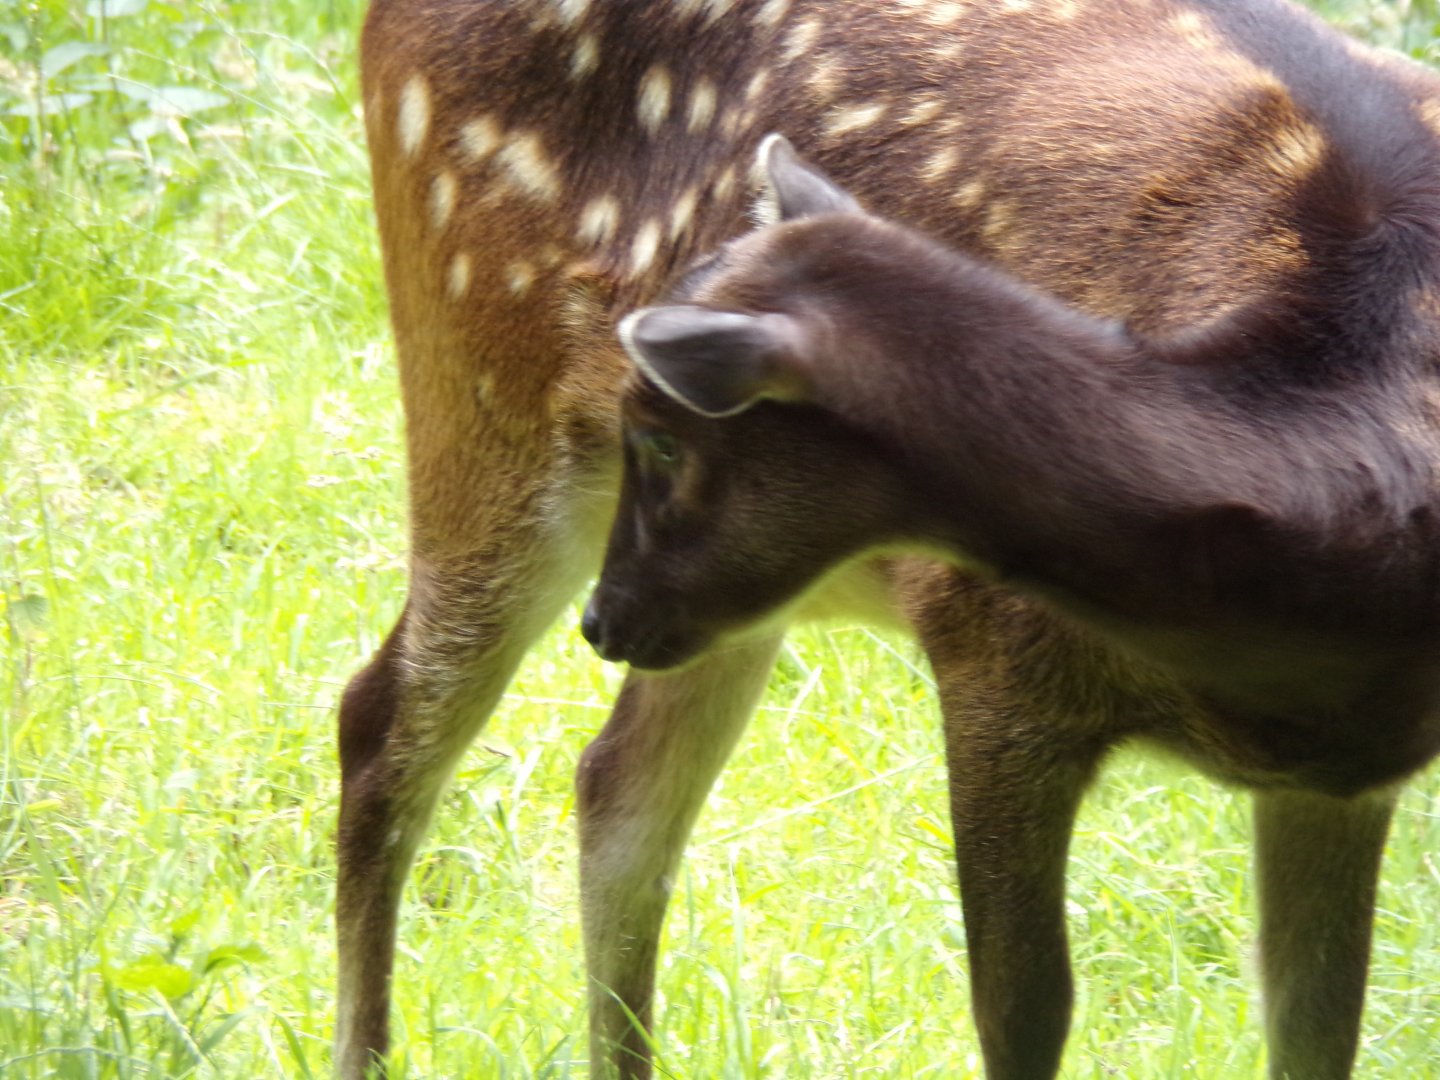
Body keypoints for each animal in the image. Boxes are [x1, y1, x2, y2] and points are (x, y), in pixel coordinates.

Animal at [341, 0, 1440, 1077]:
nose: (604, 623)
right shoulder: (991, 654)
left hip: (718, 598)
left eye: (657, 434)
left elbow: (1315, 1028)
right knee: (381, 721)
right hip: (489, 390)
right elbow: (1023, 1013)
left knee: (617, 789)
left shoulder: (1344, 777)